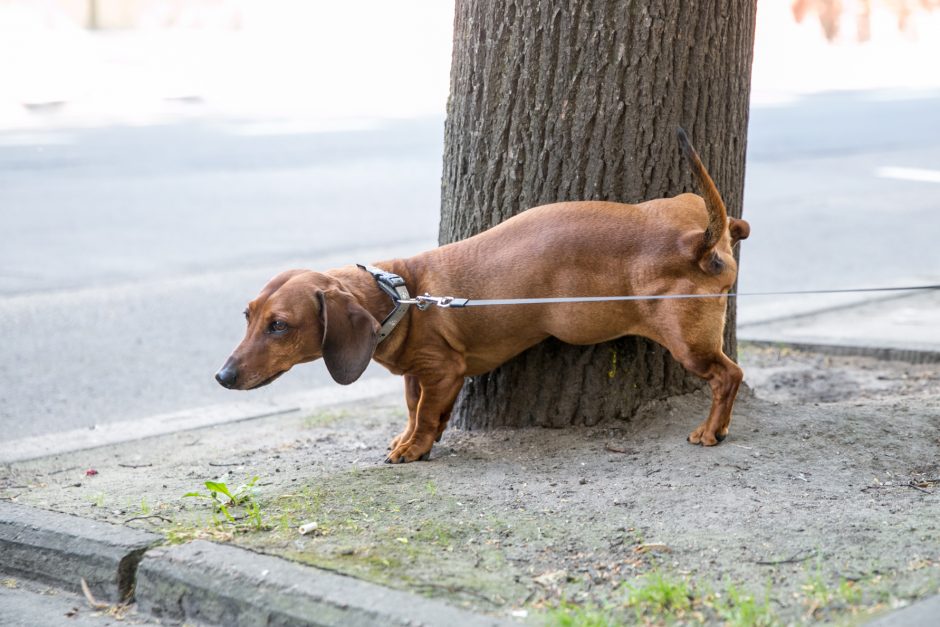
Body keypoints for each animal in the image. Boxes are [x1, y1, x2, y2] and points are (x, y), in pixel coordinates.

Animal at [218, 129, 748, 462]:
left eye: (279, 325)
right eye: (247, 315)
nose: (222, 376)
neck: (400, 294)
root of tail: (697, 243)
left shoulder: (443, 371)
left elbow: (426, 414)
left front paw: (414, 448)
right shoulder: (417, 373)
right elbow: (413, 408)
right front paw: (408, 438)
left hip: (687, 342)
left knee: (729, 376)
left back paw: (712, 430)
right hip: (685, 209)